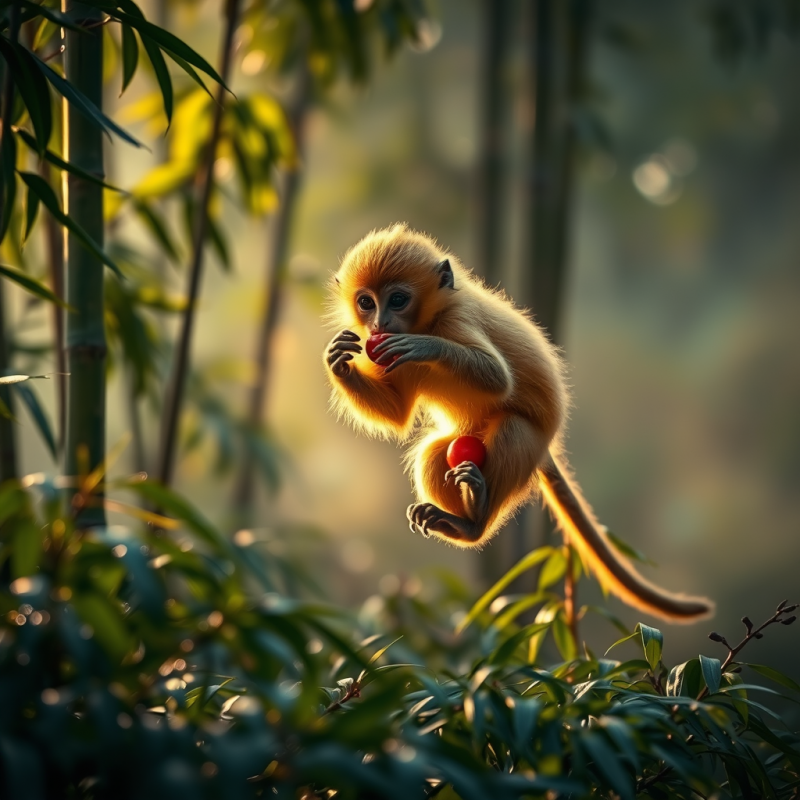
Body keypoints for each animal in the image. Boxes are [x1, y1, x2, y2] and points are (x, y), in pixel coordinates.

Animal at [324, 224, 713, 623]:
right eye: (367, 302)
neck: (430, 320)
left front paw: (422, 346)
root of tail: (549, 444)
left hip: (529, 441)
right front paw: (337, 360)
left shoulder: (457, 320)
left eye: (398, 299)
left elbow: (497, 379)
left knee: (512, 426)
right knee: (436, 451)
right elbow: (397, 413)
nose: (379, 324)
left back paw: (472, 522)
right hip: (467, 439)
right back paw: (455, 520)